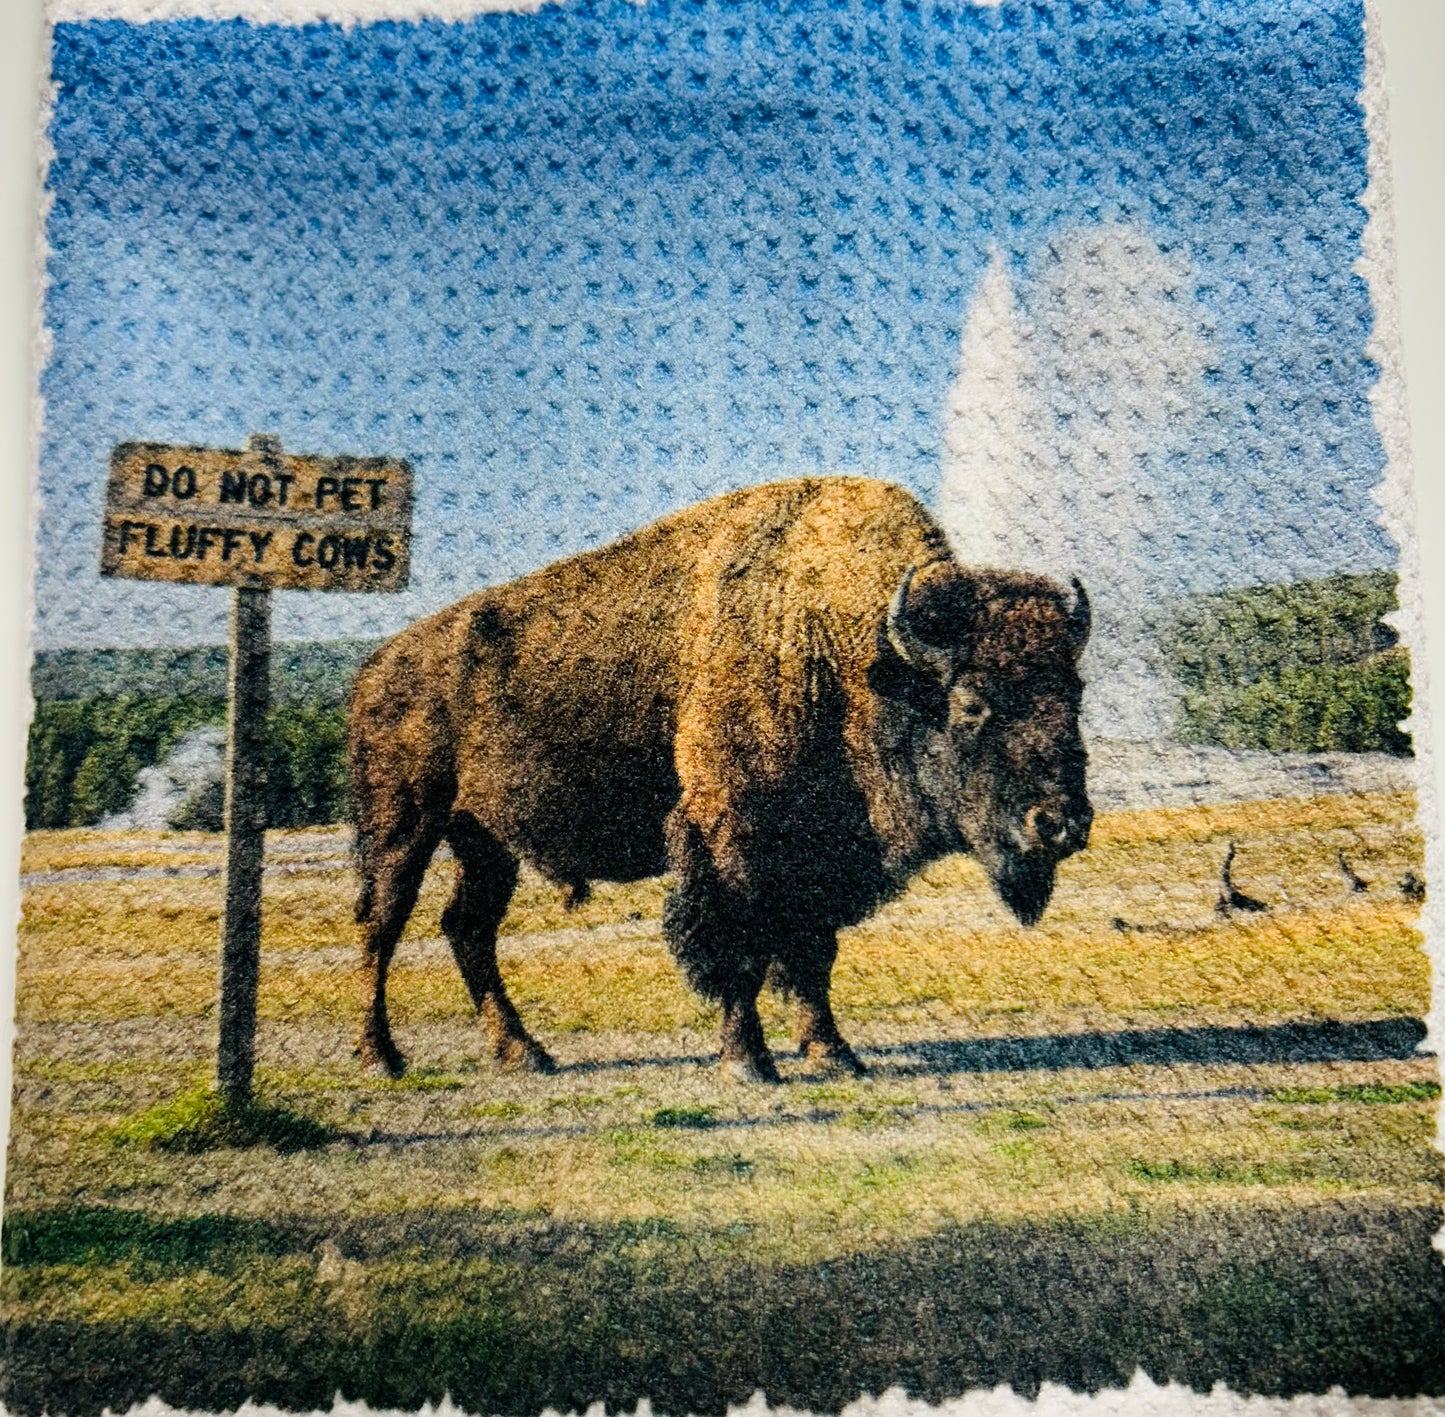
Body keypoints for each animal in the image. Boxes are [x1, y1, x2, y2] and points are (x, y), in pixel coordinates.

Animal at [349, 477, 1092, 1082]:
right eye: (971, 702)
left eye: (1075, 693)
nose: (1061, 823)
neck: (852, 651)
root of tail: (376, 667)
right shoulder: (729, 840)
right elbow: (739, 949)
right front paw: (749, 1062)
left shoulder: (816, 858)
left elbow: (810, 953)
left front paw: (834, 1053)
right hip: (405, 826)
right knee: (383, 925)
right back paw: (382, 1057)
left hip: (486, 842)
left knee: (466, 927)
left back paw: (525, 1052)